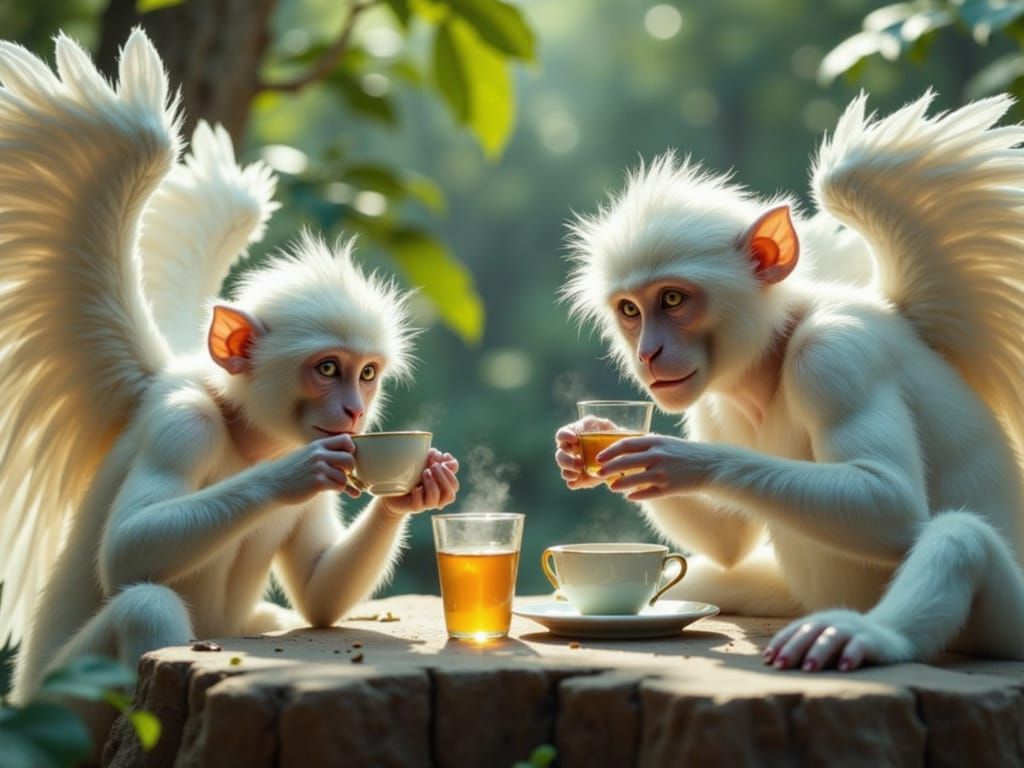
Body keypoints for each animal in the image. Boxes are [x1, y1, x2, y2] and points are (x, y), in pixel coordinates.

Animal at [0, 30, 460, 709]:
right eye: (328, 368)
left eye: (368, 373)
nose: (354, 412)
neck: (248, 431)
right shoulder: (181, 423)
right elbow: (127, 549)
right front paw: (296, 474)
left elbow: (319, 593)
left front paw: (421, 483)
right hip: (58, 694)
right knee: (144, 604)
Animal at [555, 92, 1024, 671]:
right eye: (629, 310)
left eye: (672, 299)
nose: (648, 354)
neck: (770, 357)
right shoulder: (708, 400)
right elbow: (729, 540)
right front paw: (580, 442)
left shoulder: (836, 354)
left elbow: (889, 500)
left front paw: (679, 460)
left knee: (961, 537)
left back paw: (860, 634)